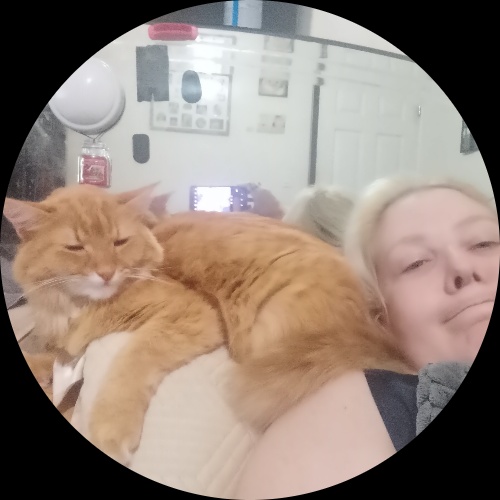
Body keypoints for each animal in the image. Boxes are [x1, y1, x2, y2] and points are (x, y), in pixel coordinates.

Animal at [4, 182, 411, 465]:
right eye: (76, 247)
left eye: (119, 242)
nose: (106, 273)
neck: (73, 307)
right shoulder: (64, 345)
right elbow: (48, 360)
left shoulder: (191, 314)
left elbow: (131, 361)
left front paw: (111, 429)